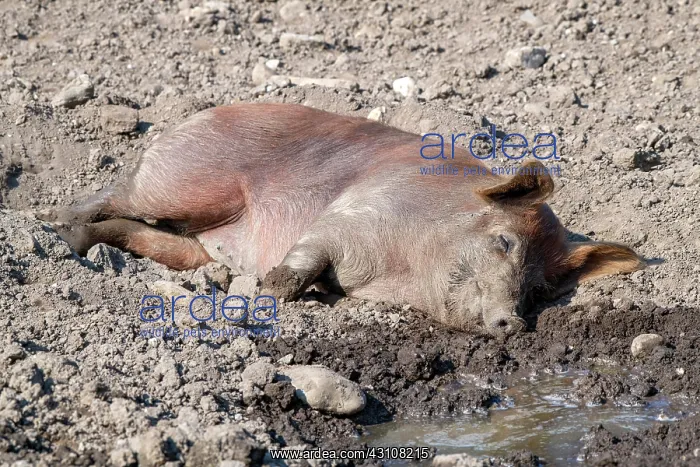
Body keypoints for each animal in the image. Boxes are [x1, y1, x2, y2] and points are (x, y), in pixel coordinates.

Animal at [41, 103, 645, 336]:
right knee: (116, 192)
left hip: (191, 242)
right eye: (504, 242)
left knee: (142, 233)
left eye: (540, 290)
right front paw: (271, 291)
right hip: (186, 182)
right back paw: (56, 225)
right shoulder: (350, 214)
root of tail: (192, 117)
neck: (401, 273)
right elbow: (305, 259)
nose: (512, 322)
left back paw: (82, 240)